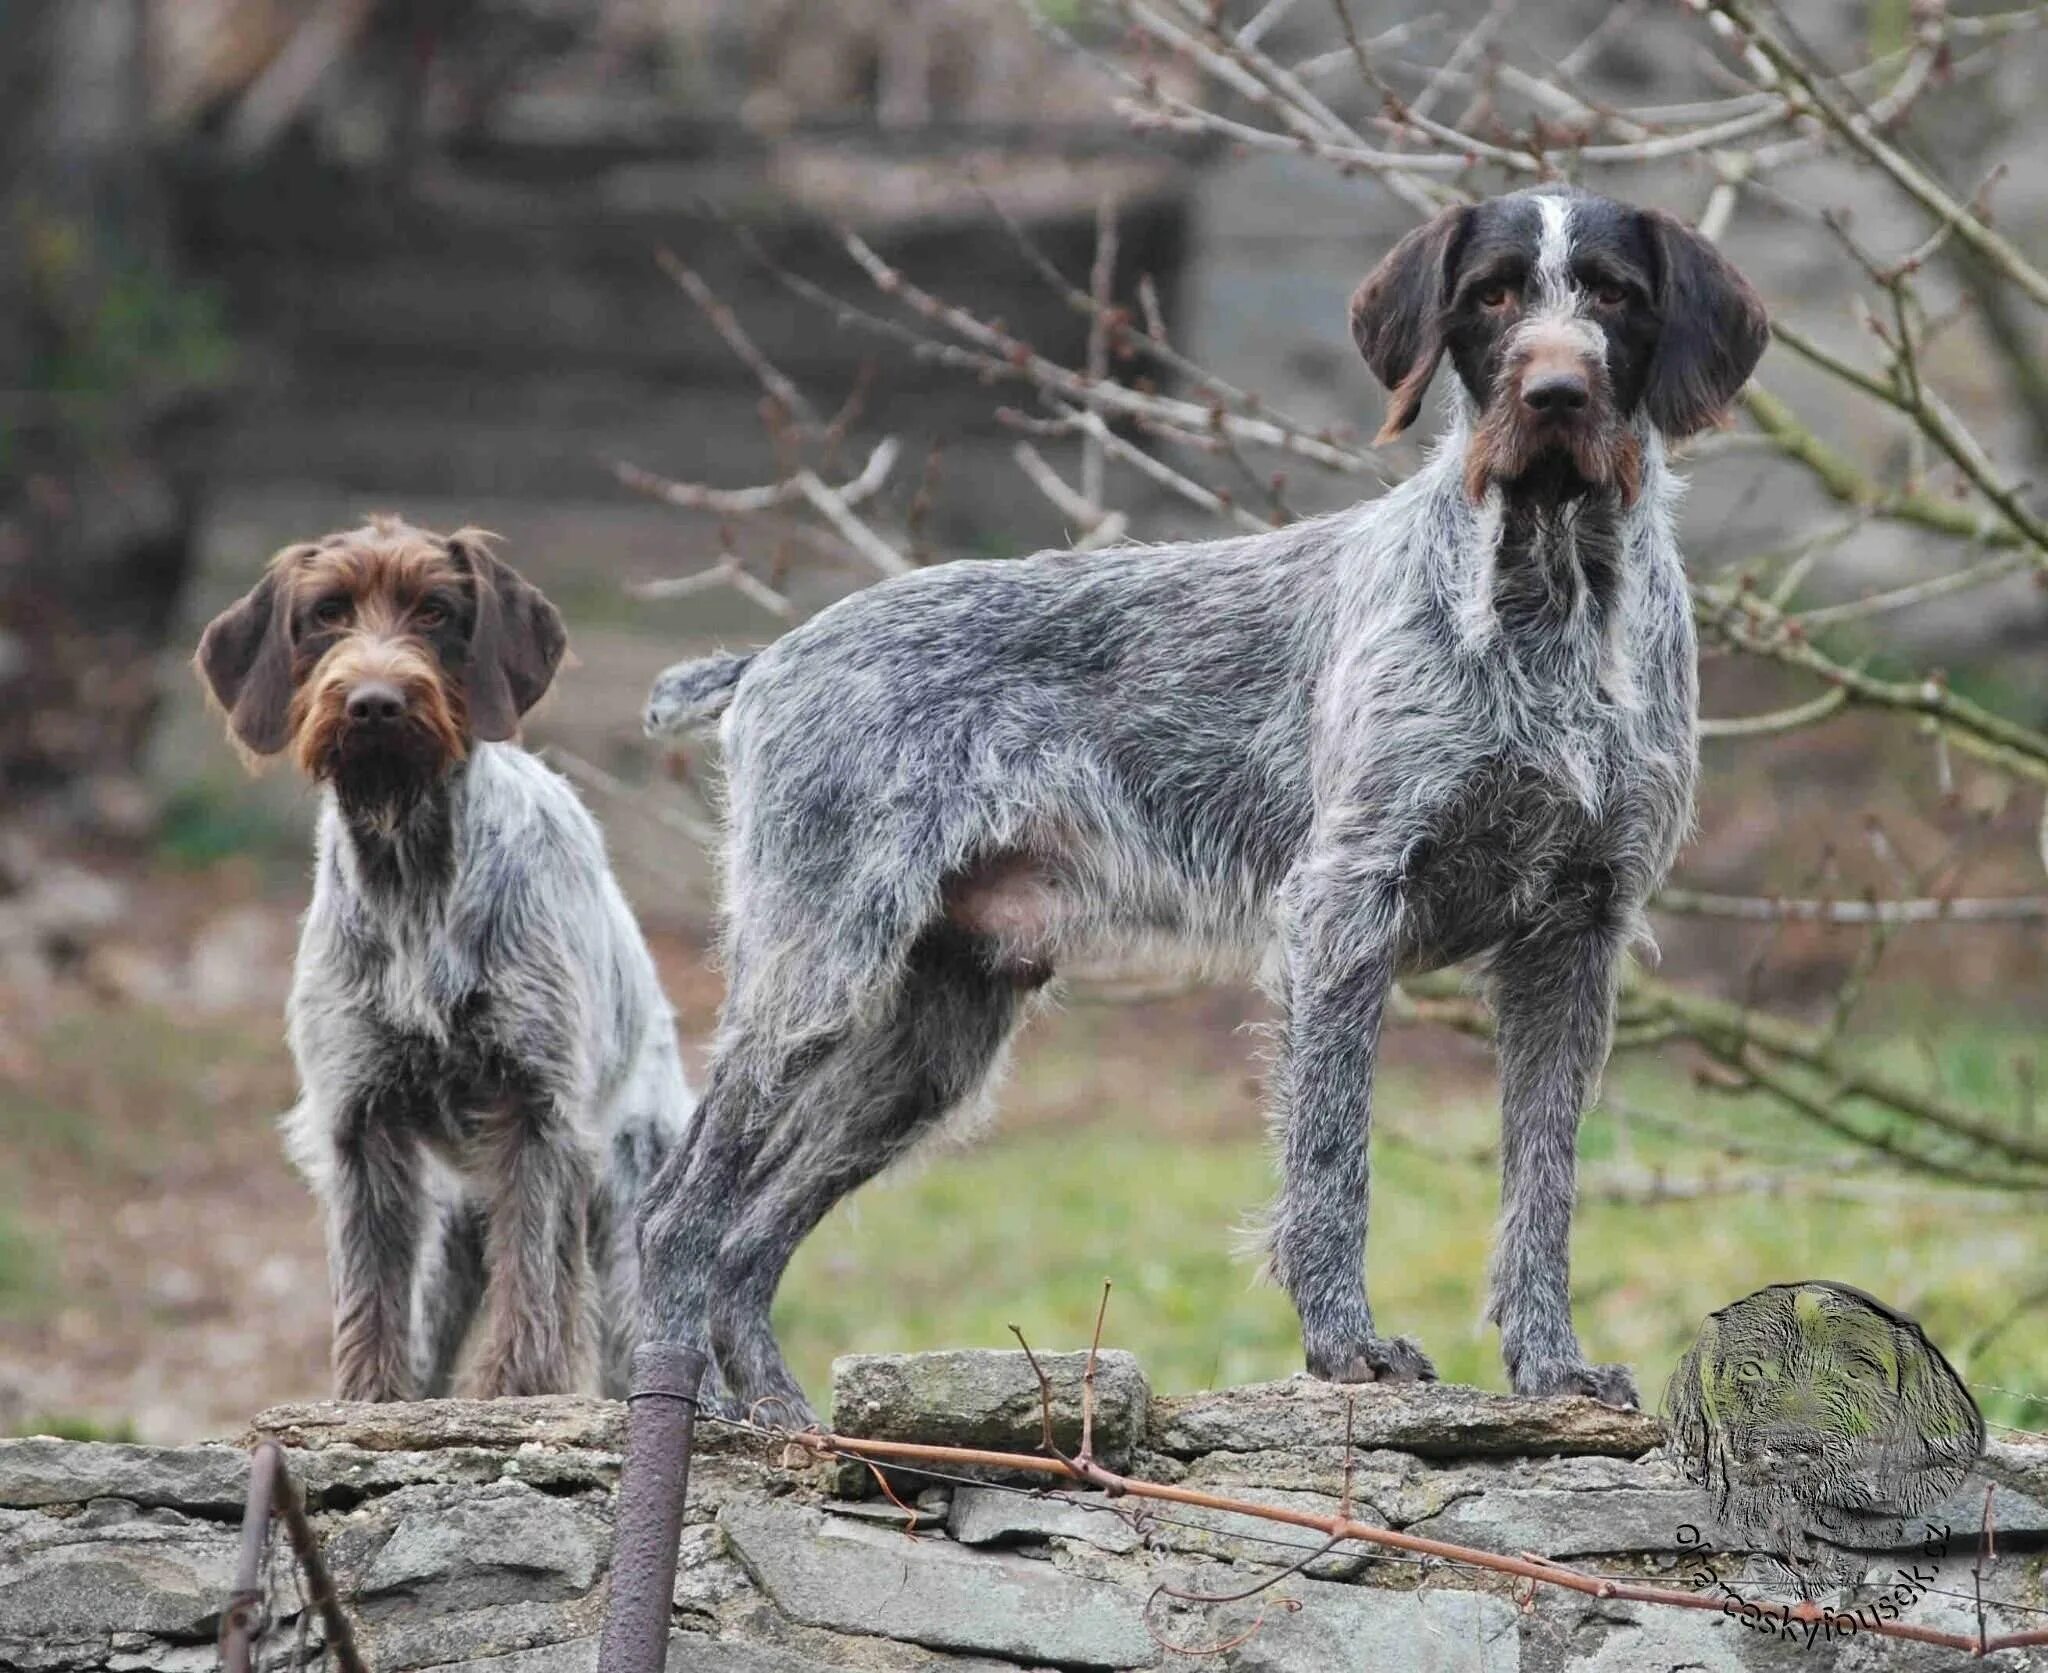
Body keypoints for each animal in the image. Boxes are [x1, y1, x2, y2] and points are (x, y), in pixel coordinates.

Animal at [199, 511, 696, 1400]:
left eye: (435, 610)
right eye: (326, 613)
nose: (374, 703)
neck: (413, 879)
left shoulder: (537, 1111)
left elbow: (534, 1280)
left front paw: (518, 1392)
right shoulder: (359, 1120)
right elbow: (369, 1290)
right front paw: (369, 1398)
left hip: (627, 1214)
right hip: (448, 1227)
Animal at [643, 186, 1777, 1425]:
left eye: (1614, 294)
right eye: (1492, 296)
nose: (1556, 393)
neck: (1550, 596)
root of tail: (770, 656)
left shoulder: (1573, 934)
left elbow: (1544, 1181)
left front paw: (1548, 1363)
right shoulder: (1343, 907)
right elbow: (1331, 1160)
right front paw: (1345, 1345)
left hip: (929, 1039)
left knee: (748, 1234)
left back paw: (776, 1412)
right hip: (817, 974)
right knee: (674, 1214)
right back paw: (687, 1415)